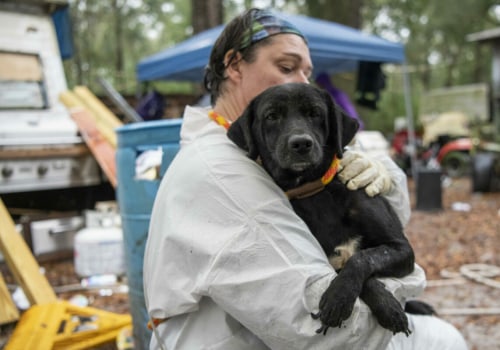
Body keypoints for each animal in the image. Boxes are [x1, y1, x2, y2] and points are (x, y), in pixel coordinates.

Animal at [227, 82, 414, 336]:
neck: (314, 192)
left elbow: (363, 257)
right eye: (272, 116)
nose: (301, 144)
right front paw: (363, 301)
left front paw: (342, 298)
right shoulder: (325, 259)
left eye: (315, 113)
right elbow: (347, 266)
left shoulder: (402, 248)